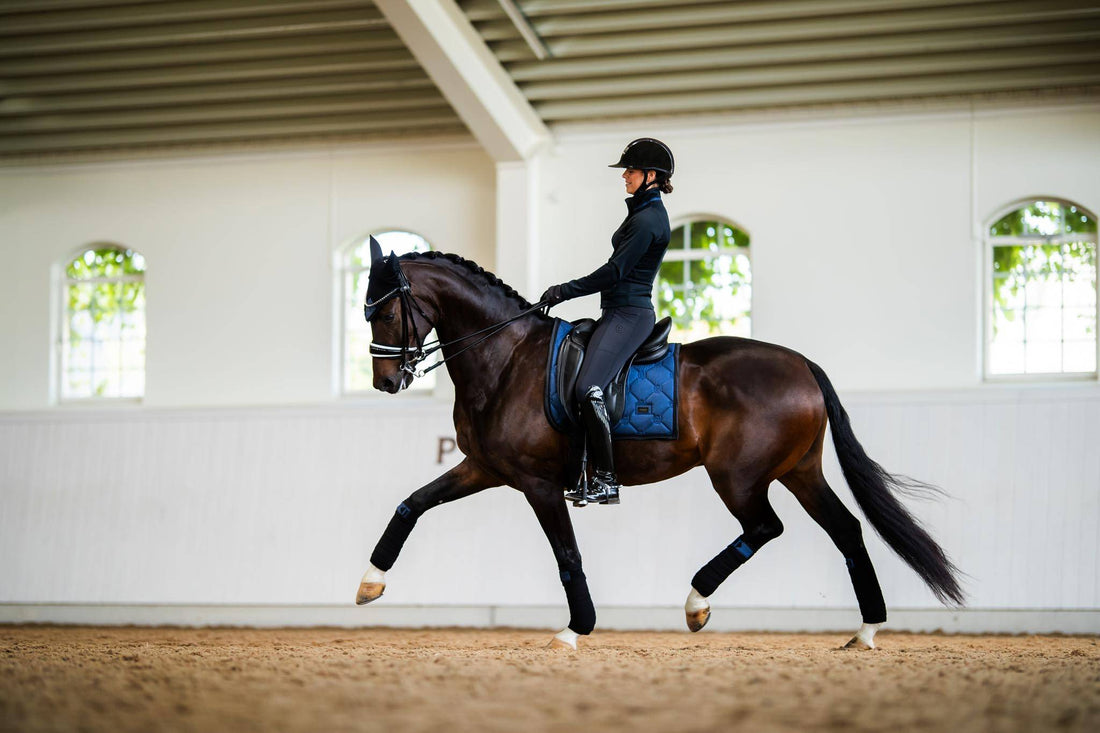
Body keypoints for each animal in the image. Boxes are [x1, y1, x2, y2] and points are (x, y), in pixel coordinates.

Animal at [354, 244, 963, 647]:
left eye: (384, 310)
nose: (385, 381)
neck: (505, 357)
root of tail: (802, 365)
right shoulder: (483, 467)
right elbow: (411, 504)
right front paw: (369, 584)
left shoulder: (536, 483)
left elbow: (567, 554)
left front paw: (575, 630)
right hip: (800, 471)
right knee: (846, 530)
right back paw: (867, 631)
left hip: (739, 475)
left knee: (766, 527)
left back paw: (697, 603)